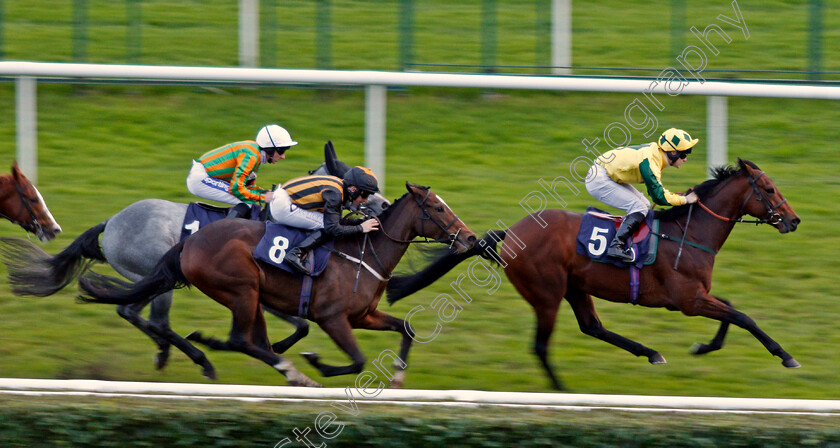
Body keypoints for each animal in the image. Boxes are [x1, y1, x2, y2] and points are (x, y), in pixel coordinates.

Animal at [0, 142, 388, 380]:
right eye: (365, 189)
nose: (385, 205)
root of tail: (111, 223)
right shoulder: (265, 287)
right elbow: (301, 325)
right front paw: (274, 351)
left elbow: (302, 326)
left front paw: (276, 351)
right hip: (158, 276)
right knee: (152, 318)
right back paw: (199, 360)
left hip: (151, 278)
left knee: (130, 311)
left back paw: (164, 352)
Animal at [388, 159, 800, 390]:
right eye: (768, 188)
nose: (794, 220)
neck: (689, 231)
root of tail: (513, 232)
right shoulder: (687, 300)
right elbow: (743, 316)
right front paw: (785, 355)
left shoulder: (697, 295)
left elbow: (731, 311)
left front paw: (704, 347)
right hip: (547, 293)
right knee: (542, 345)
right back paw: (563, 391)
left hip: (575, 287)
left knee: (593, 327)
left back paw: (650, 353)